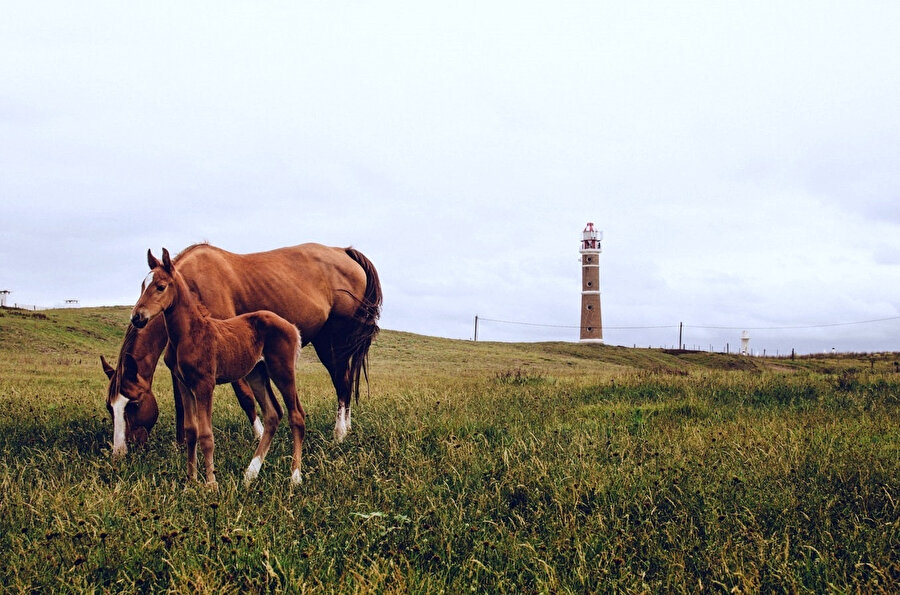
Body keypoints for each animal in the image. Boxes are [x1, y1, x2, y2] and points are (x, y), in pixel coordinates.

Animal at [103, 244, 384, 458]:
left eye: (134, 404)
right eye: (110, 407)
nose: (119, 452)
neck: (192, 285)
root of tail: (344, 251)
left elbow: (245, 396)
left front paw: (259, 436)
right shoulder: (182, 365)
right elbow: (181, 403)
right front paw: (181, 443)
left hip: (333, 342)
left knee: (342, 383)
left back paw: (339, 434)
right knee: (346, 381)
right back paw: (347, 427)